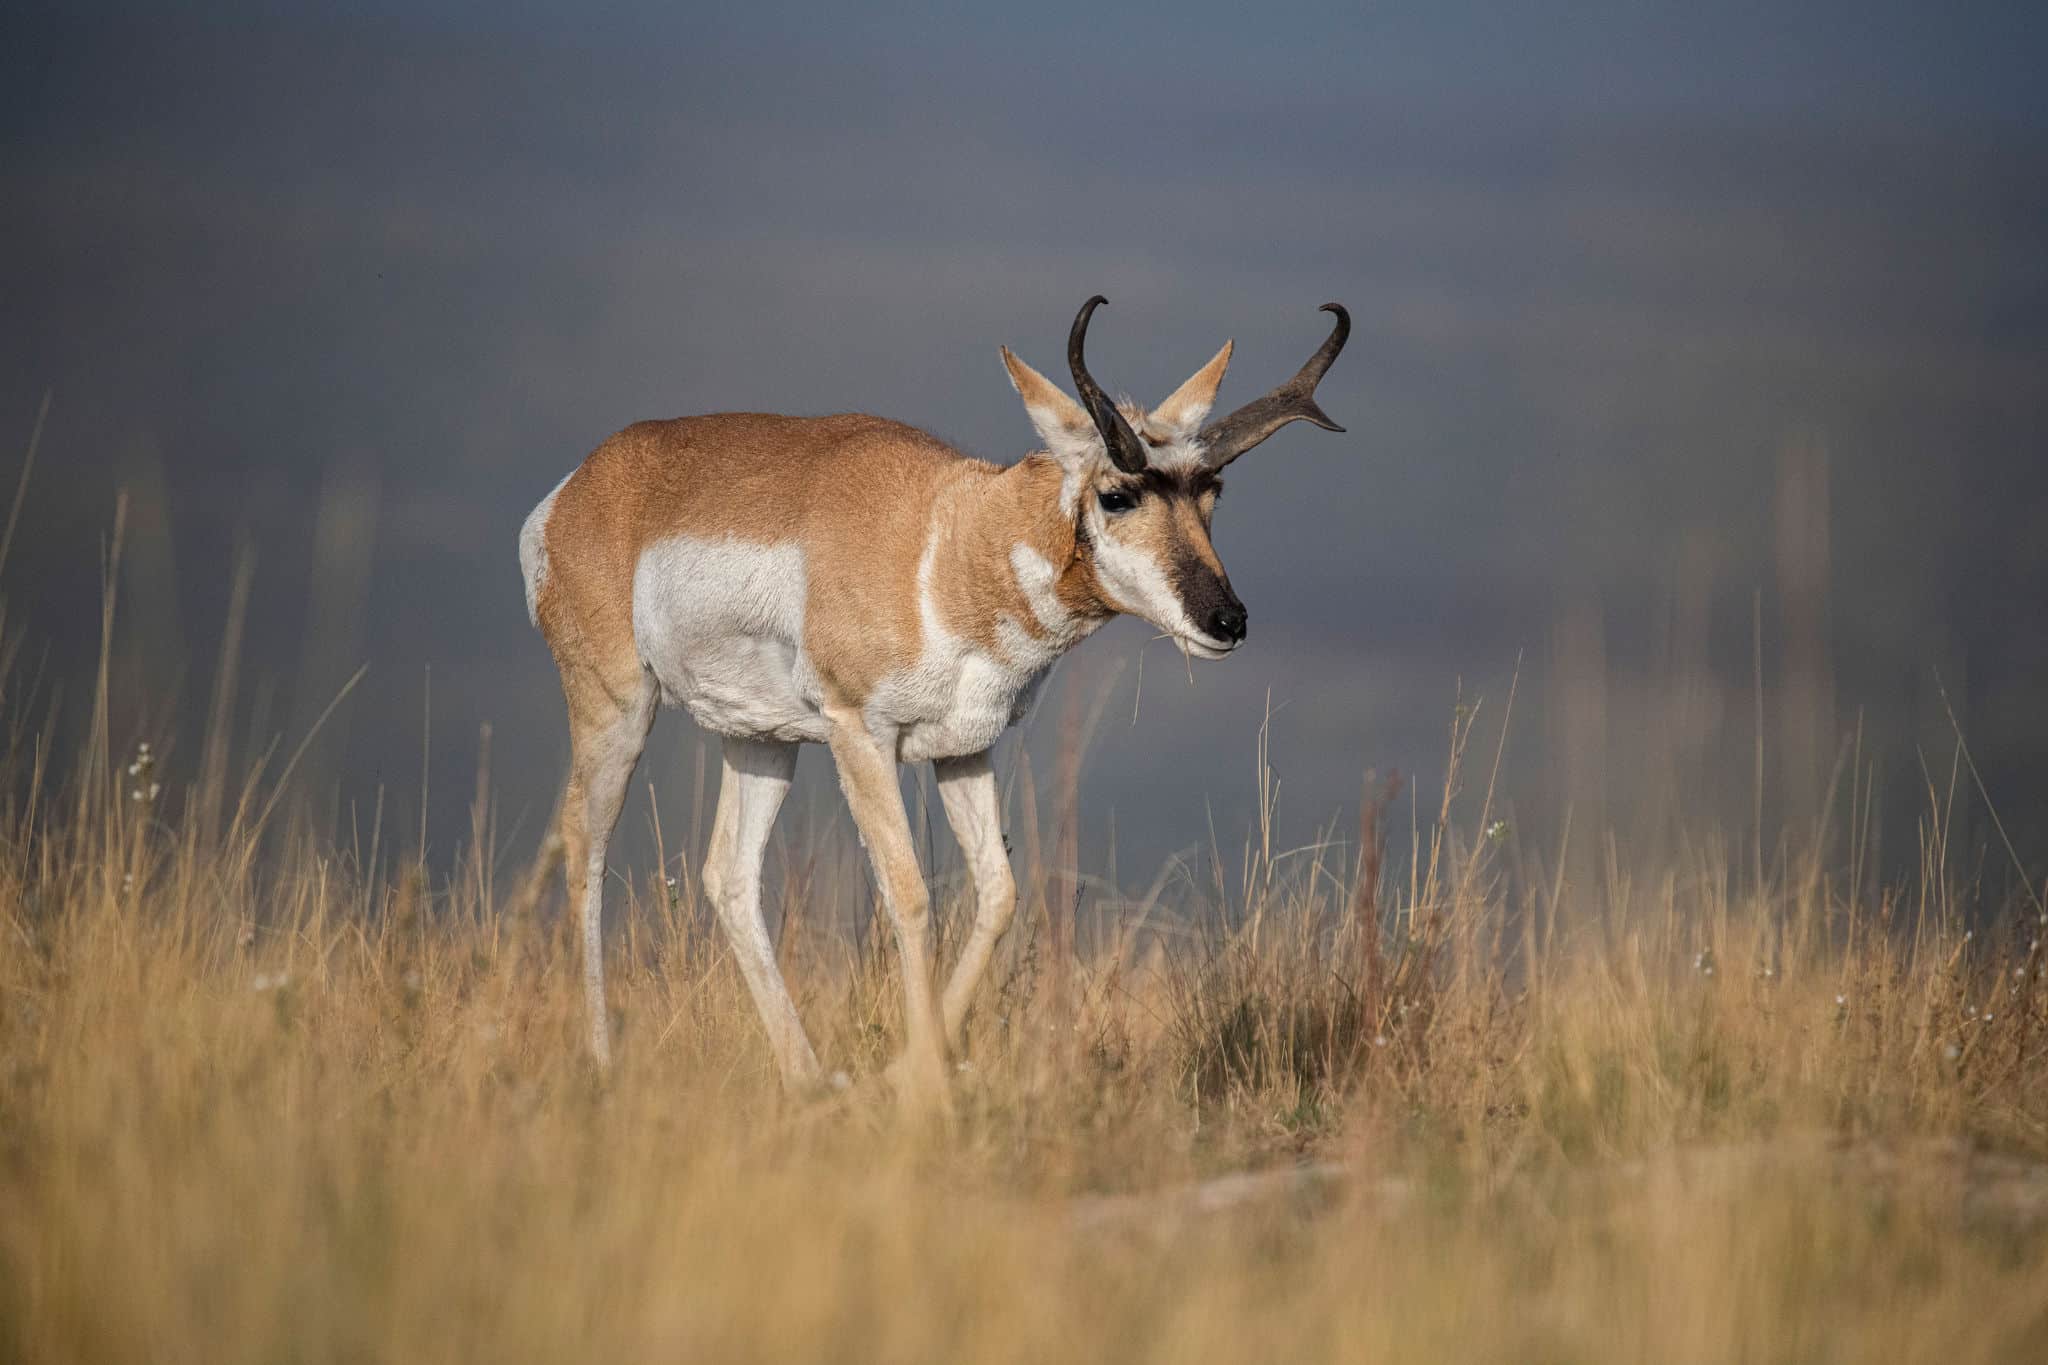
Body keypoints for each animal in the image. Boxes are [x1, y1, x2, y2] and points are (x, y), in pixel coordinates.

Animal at [520, 294, 1343, 1096]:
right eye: (1117, 494)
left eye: (1212, 490)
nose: (1227, 621)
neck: (947, 540)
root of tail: (574, 490)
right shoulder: (860, 737)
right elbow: (911, 895)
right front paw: (924, 1087)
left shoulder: (964, 750)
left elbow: (998, 894)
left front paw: (912, 1065)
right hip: (618, 708)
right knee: (584, 843)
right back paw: (601, 1059)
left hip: (760, 742)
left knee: (727, 876)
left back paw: (808, 1077)